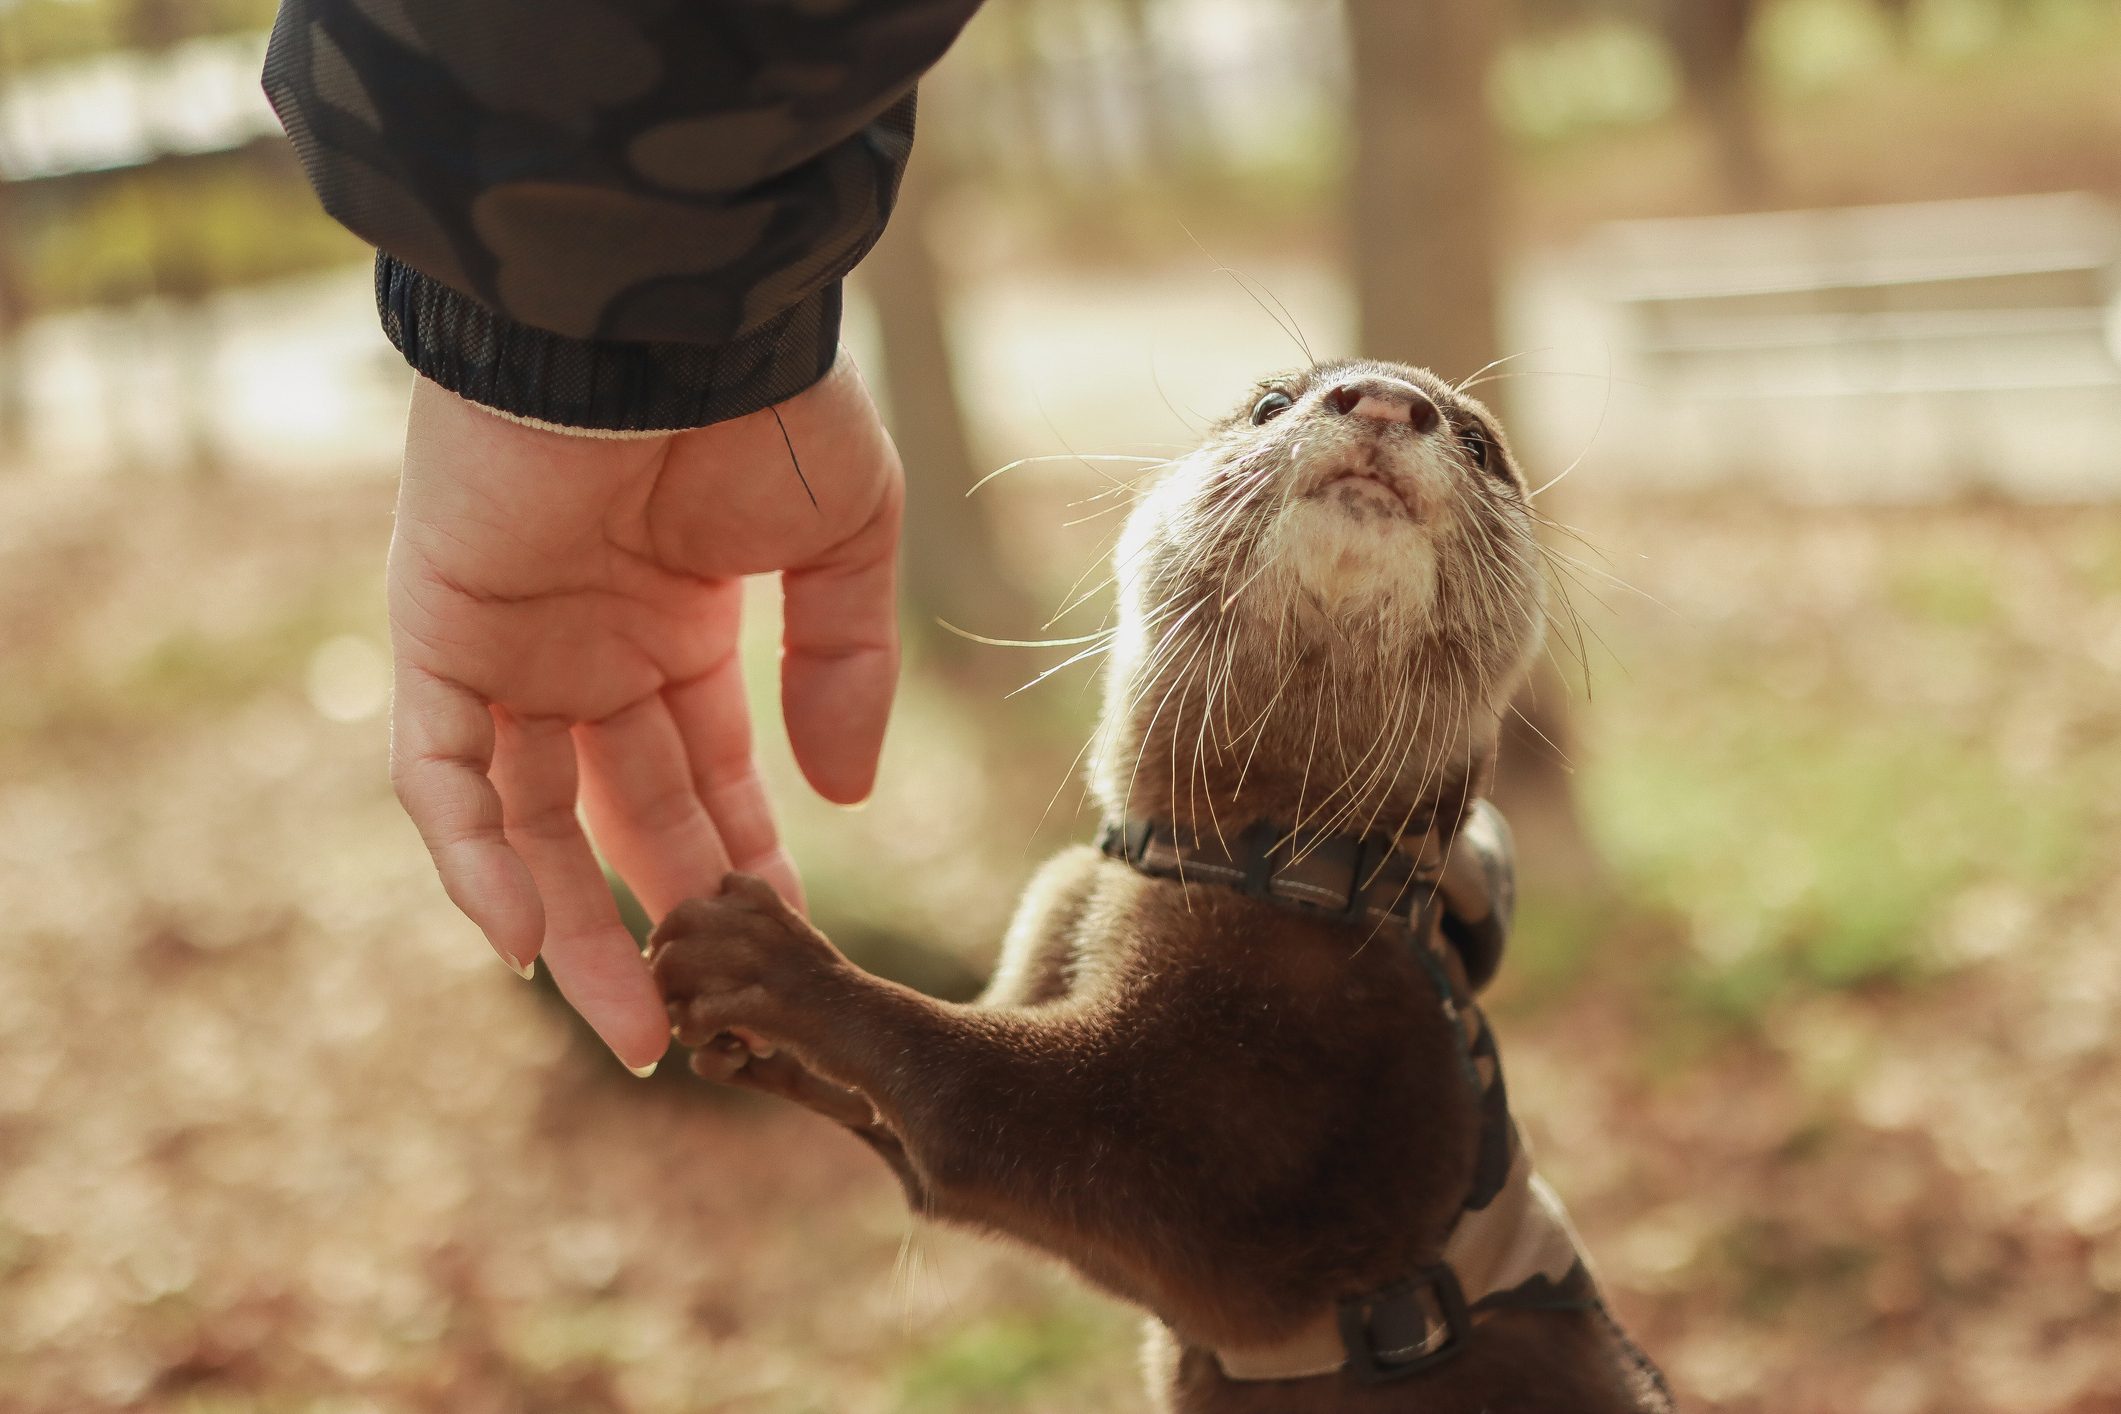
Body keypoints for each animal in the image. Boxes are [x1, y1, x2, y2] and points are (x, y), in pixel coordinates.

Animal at [653, 360, 1662, 1407]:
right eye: (1271, 403)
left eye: (1477, 444)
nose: (1386, 397)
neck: (1270, 872)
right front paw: (744, 1051)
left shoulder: (1253, 1130)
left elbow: (970, 1106)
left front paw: (767, 961)